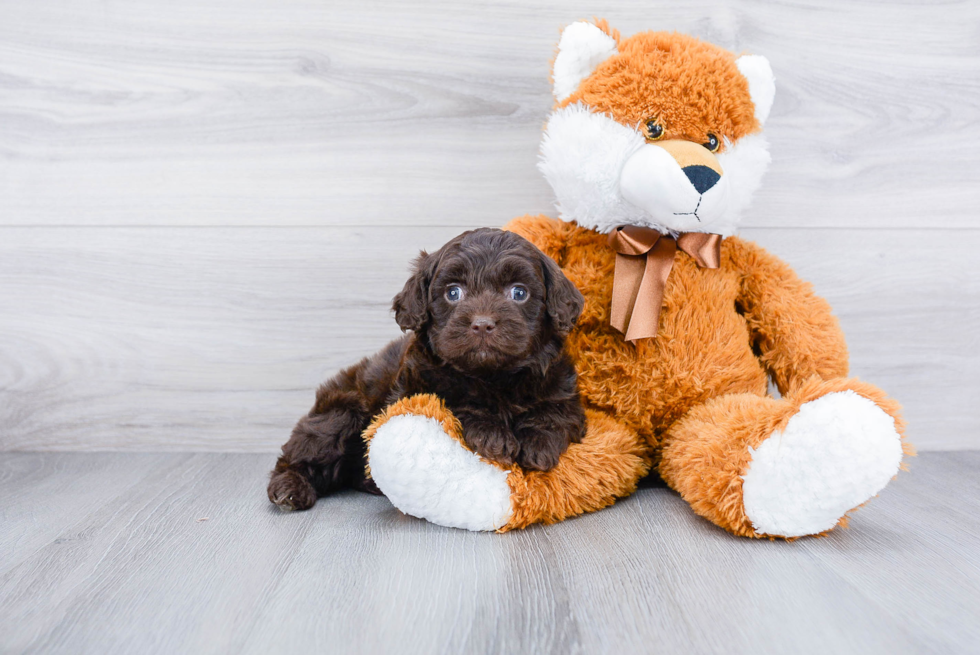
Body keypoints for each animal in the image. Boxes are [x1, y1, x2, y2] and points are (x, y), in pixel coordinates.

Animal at [268, 229, 584, 512]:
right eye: (453, 292)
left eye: (519, 292)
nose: (482, 323)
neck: (494, 376)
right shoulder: (414, 390)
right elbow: (456, 400)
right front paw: (493, 434)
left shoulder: (563, 390)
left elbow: (555, 413)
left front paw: (539, 444)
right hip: (340, 413)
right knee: (302, 451)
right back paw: (289, 488)